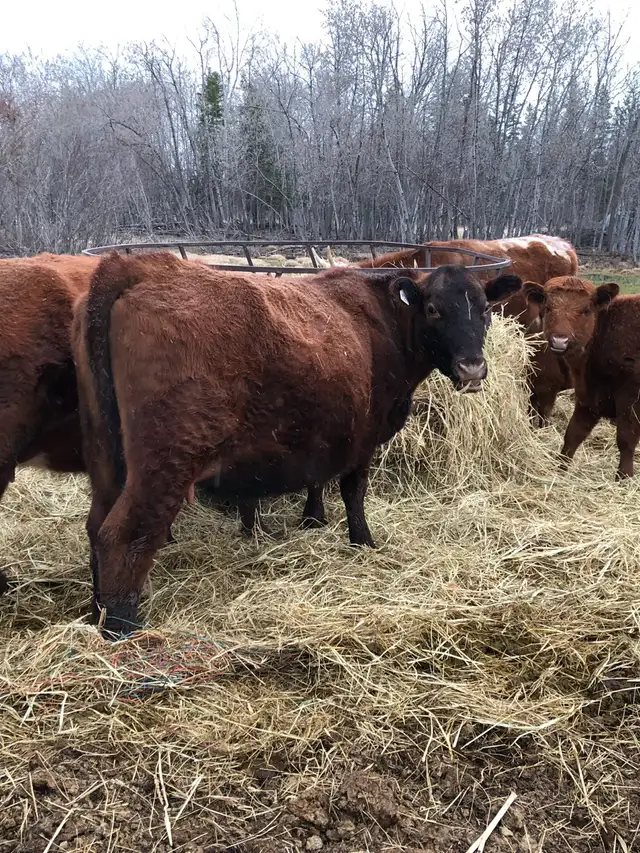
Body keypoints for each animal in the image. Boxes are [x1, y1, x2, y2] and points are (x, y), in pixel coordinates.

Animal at [72, 251, 521, 637]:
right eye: (433, 310)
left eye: (485, 309)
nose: (472, 368)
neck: (381, 322)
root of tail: (139, 265)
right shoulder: (365, 435)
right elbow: (353, 490)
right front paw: (363, 541)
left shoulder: (326, 430)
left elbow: (318, 478)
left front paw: (313, 518)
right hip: (166, 460)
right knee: (123, 533)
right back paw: (123, 627)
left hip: (109, 461)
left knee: (96, 526)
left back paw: (98, 610)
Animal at [522, 275, 640, 477]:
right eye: (547, 308)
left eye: (586, 310)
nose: (559, 341)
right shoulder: (588, 398)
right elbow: (573, 434)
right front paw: (560, 471)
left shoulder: (631, 401)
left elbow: (626, 440)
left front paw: (623, 477)